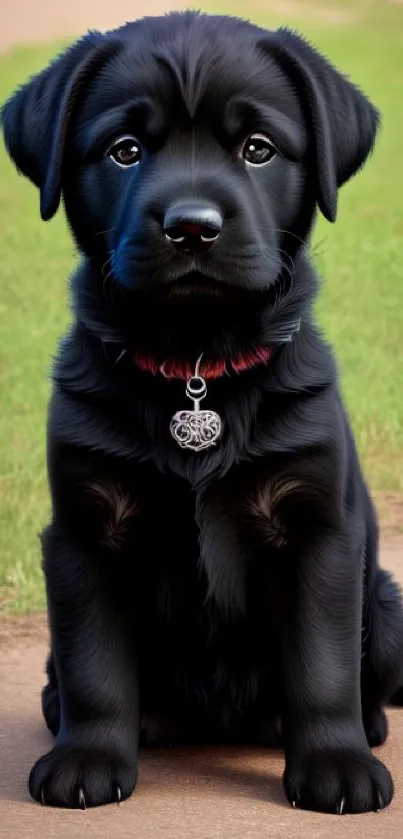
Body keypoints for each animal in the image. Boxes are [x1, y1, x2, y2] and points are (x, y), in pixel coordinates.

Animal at [3, 9, 403, 816]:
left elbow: (321, 667)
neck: (196, 369)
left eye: (258, 149)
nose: (192, 226)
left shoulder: (317, 529)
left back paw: (367, 725)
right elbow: (93, 664)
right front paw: (88, 758)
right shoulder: (85, 529)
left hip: (386, 603)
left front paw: (336, 762)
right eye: (125, 150)